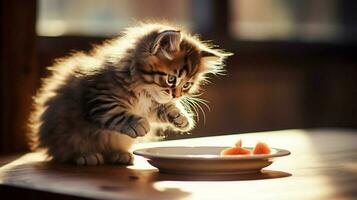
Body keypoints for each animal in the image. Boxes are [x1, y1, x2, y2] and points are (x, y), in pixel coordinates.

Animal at [29, 22, 232, 165]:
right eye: (171, 79)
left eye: (187, 85)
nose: (177, 95)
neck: (143, 90)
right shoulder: (98, 97)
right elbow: (115, 113)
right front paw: (137, 124)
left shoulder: (151, 107)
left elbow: (164, 109)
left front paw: (180, 117)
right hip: (64, 133)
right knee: (63, 152)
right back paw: (85, 156)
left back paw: (119, 155)